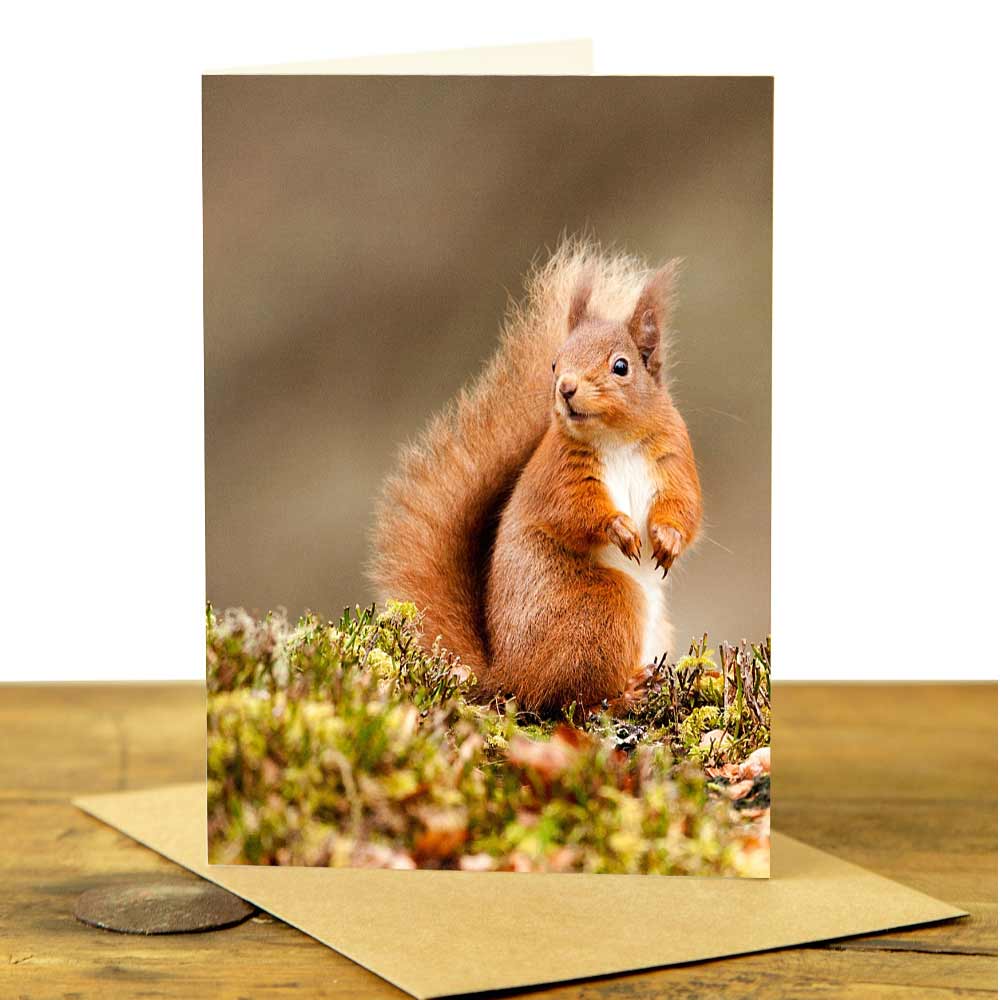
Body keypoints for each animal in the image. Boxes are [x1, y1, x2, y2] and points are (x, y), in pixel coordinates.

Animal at [371, 239, 702, 714]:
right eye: (554, 363)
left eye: (621, 366)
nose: (565, 388)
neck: (616, 438)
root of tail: (507, 676)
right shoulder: (559, 474)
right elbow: (574, 511)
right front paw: (618, 528)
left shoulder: (674, 459)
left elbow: (685, 507)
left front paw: (669, 539)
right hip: (602, 610)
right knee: (576, 698)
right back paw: (627, 692)